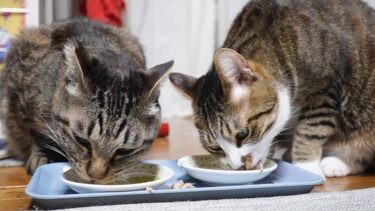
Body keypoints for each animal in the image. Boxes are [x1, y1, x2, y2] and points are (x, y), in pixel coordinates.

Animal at [0, 18, 173, 183]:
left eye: (125, 151)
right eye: (81, 141)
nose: (96, 176)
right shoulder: (23, 96)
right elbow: (37, 133)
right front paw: (42, 154)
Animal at [170, 0, 375, 178]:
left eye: (242, 134)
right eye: (215, 148)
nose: (239, 166)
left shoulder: (325, 90)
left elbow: (310, 131)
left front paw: (306, 167)